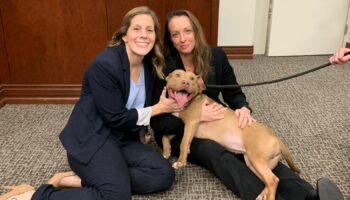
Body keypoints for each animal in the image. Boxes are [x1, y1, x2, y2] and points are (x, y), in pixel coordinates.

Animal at [163, 69, 300, 200]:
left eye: (192, 78)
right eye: (177, 75)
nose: (186, 82)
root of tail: (276, 138)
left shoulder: (191, 123)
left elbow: (184, 142)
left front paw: (181, 161)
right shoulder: (181, 127)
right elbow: (165, 135)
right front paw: (166, 151)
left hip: (257, 159)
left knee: (272, 180)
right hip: (254, 164)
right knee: (272, 179)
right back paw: (262, 195)